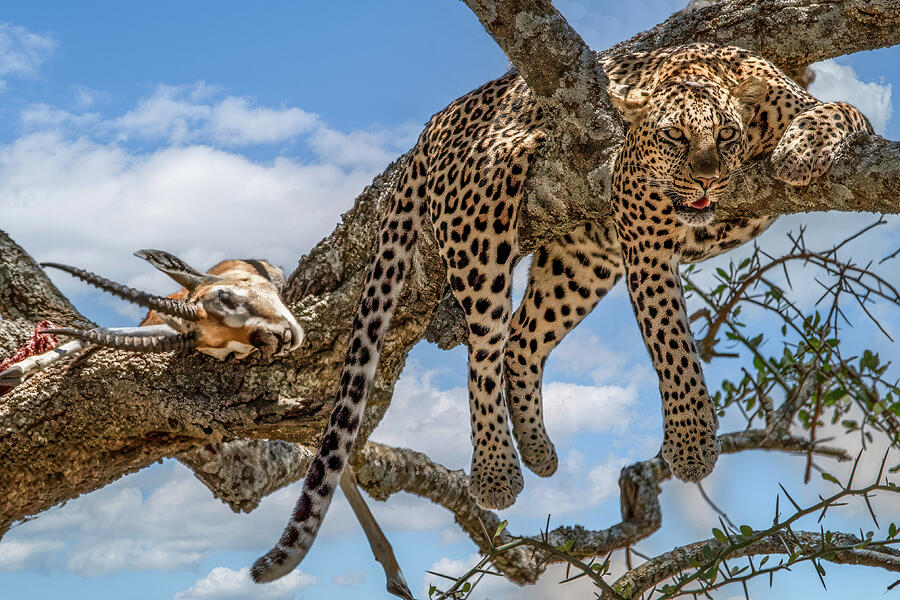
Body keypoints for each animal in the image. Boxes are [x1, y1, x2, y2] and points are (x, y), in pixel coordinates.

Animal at [251, 43, 872, 582]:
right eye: (673, 135)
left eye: (726, 133)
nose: (706, 176)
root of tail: (432, 126)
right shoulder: (642, 224)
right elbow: (671, 339)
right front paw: (692, 443)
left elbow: (843, 108)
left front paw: (801, 149)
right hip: (483, 216)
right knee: (484, 348)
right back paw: (497, 471)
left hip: (581, 260)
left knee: (521, 342)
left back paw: (538, 450)